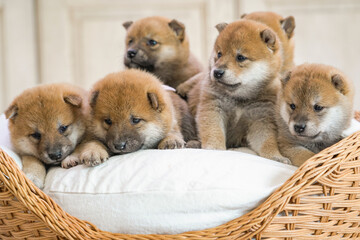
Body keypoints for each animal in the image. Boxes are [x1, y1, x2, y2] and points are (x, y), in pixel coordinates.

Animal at [191, 19, 290, 164]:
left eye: (240, 57)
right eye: (219, 54)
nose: (217, 72)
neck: (239, 98)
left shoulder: (261, 118)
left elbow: (267, 142)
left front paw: (276, 156)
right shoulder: (213, 108)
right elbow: (214, 132)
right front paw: (214, 149)